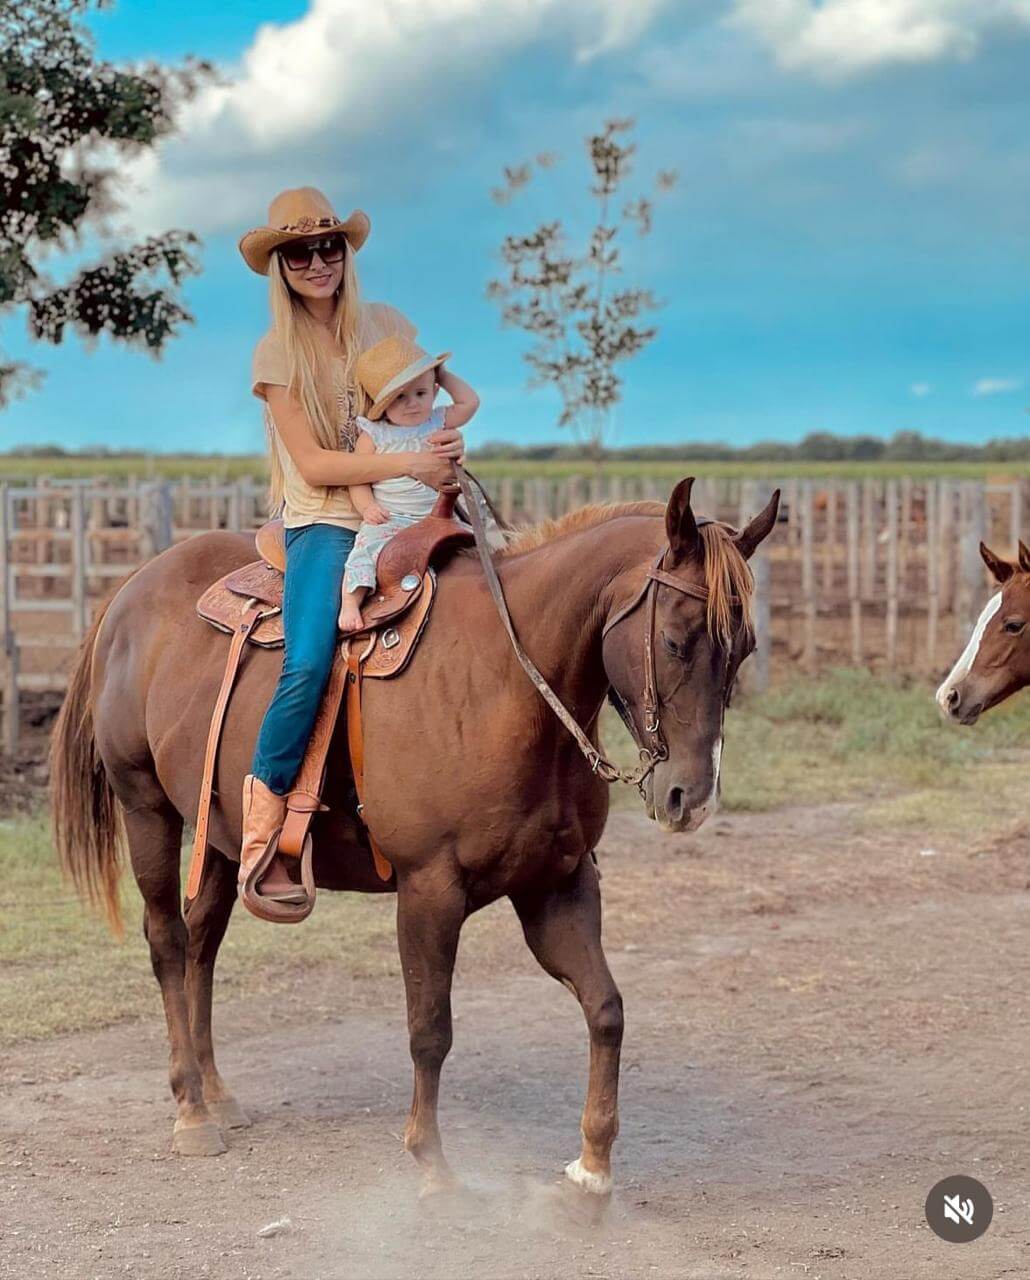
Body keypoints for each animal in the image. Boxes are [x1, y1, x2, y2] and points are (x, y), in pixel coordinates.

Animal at [46, 476, 772, 1192]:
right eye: (675, 641)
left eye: (744, 649)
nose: (690, 798)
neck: (506, 684)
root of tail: (131, 590)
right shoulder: (430, 889)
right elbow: (431, 1030)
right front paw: (431, 1164)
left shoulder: (558, 885)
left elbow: (606, 1009)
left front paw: (591, 1169)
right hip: (146, 809)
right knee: (169, 942)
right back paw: (192, 1112)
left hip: (220, 833)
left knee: (203, 942)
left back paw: (216, 1092)